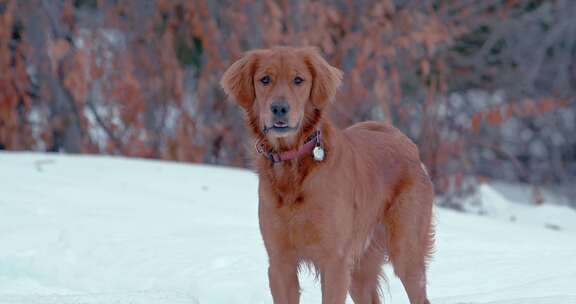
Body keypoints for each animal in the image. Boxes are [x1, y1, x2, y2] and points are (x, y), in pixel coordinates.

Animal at [220, 45, 432, 304]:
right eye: (265, 80)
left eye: (298, 80)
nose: (279, 108)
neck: (293, 165)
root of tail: (405, 141)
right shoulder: (280, 263)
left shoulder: (334, 262)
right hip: (360, 269)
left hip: (406, 251)